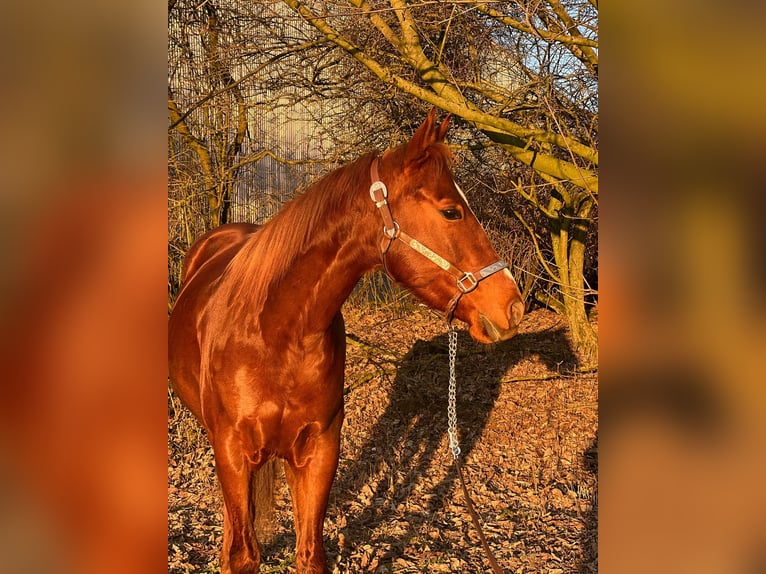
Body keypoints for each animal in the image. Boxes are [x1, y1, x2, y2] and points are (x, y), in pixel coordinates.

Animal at [169, 110, 524, 572]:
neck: (276, 334)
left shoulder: (319, 451)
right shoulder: (232, 450)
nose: (513, 305)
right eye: (451, 212)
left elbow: (310, 554)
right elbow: (244, 555)